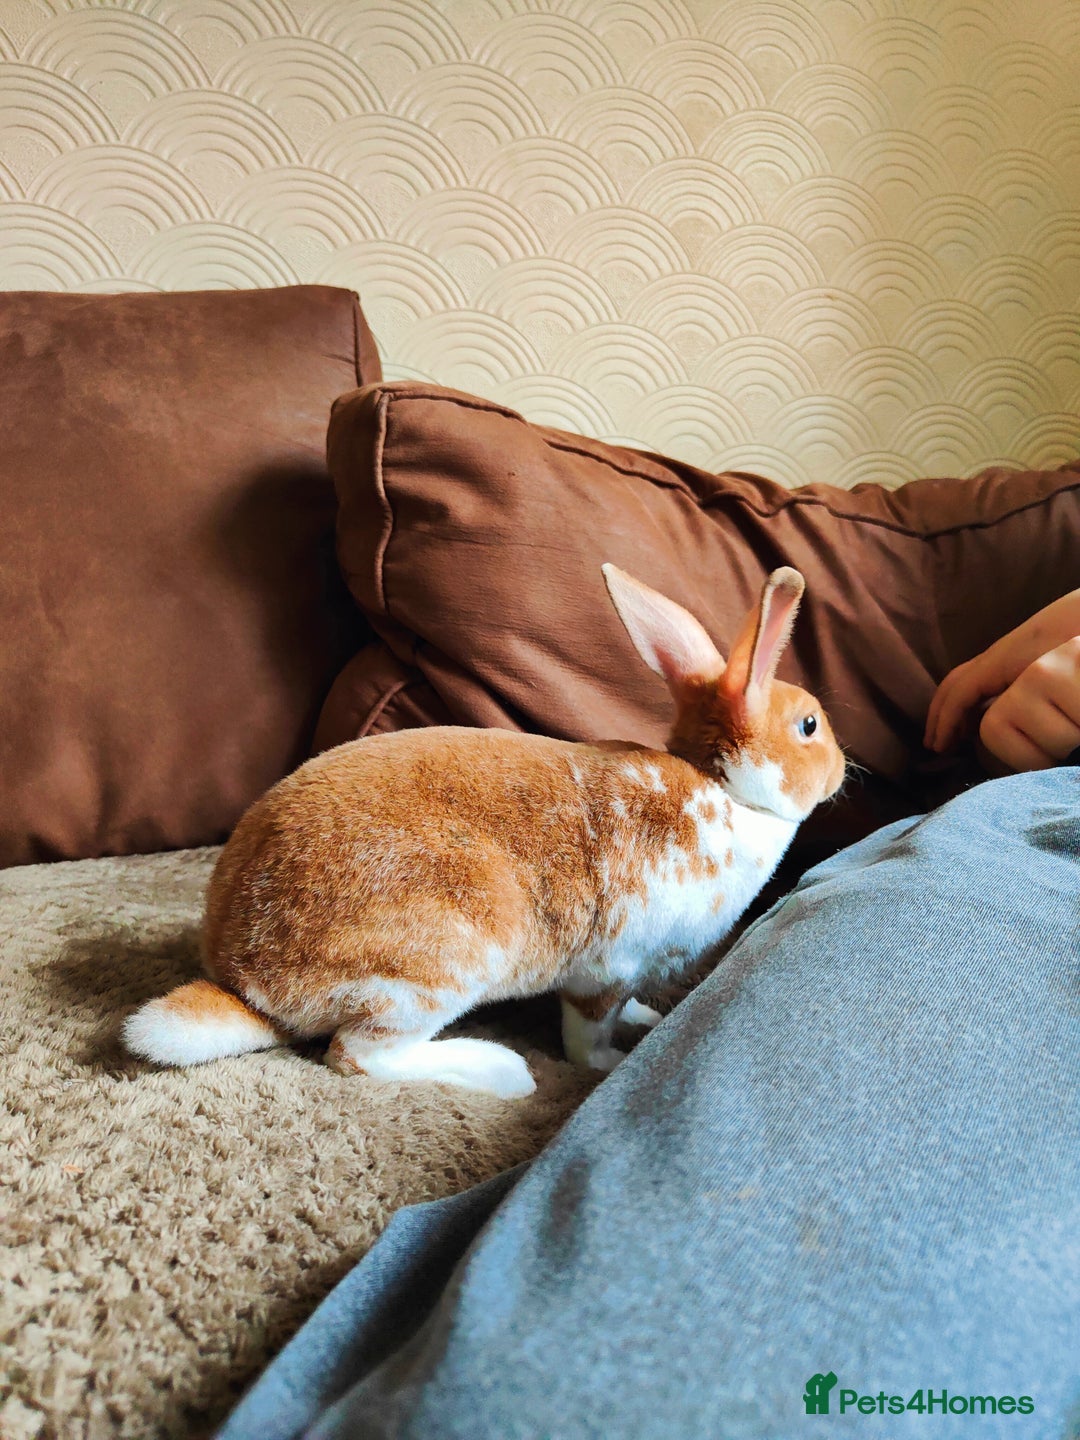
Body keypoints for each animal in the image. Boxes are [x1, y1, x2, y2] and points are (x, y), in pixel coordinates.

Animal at [123, 564, 845, 1099]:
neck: (725, 790)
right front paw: (610, 1066)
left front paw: (648, 1017)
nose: (843, 769)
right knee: (356, 1055)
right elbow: (586, 1039)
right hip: (438, 960)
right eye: (809, 726)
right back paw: (504, 1072)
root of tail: (245, 980)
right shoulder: (606, 969)